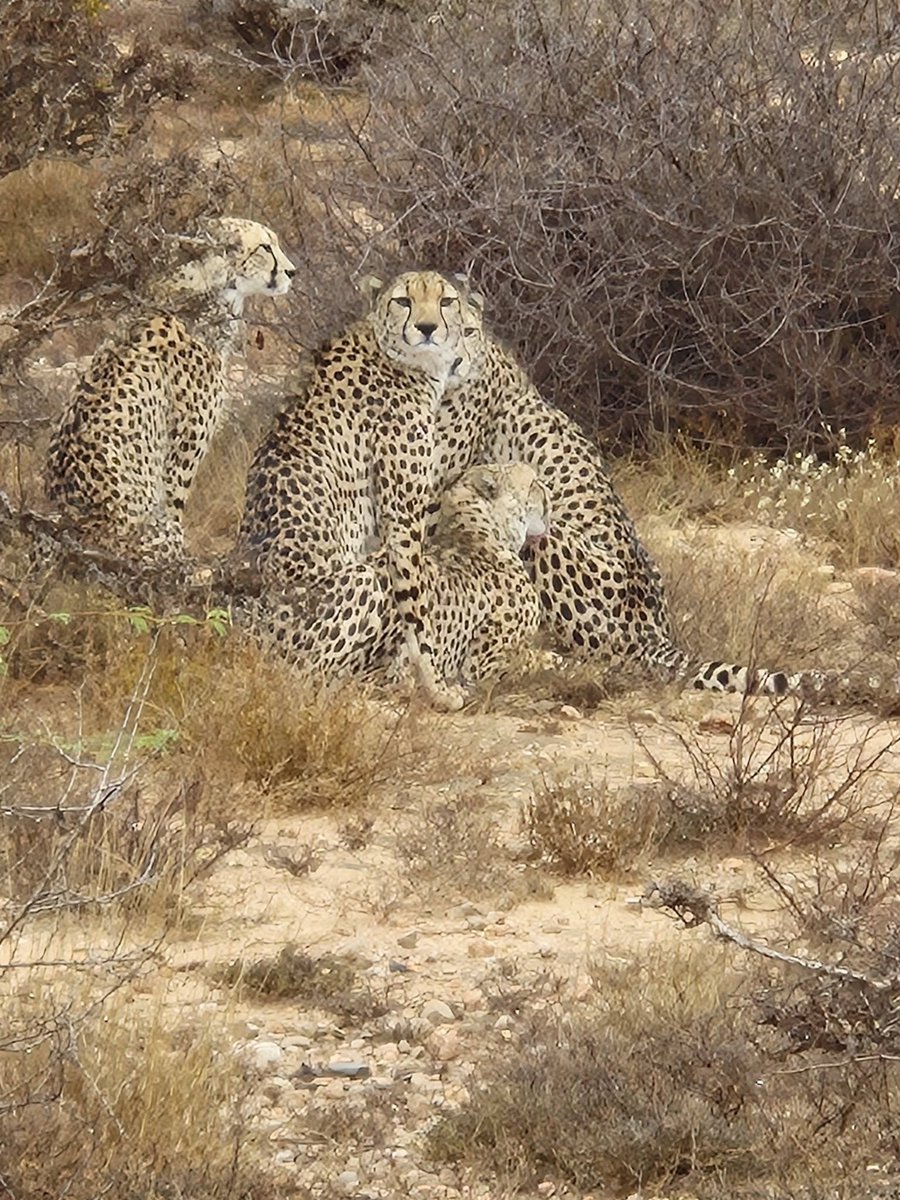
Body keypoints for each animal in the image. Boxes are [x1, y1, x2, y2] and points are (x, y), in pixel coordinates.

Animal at [238, 269, 486, 712]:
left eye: (446, 301)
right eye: (404, 301)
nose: (427, 329)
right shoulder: (403, 515)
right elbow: (417, 605)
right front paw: (436, 687)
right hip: (357, 585)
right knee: (304, 672)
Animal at [238, 461, 549, 694]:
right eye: (533, 483)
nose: (548, 493)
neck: (475, 529)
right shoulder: (482, 663)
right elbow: (531, 659)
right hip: (364, 579)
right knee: (307, 671)